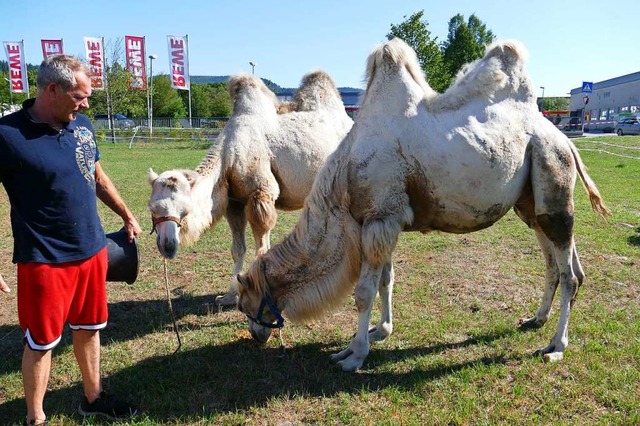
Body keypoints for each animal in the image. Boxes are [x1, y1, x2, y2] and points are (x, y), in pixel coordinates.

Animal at [148, 70, 352, 304]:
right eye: (152, 208)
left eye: (185, 209)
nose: (167, 245)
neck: (228, 154)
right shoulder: (234, 203)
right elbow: (238, 250)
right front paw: (229, 296)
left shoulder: (261, 195)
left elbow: (262, 249)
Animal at [235, 38, 608, 372]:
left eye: (246, 304)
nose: (255, 336)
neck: (343, 182)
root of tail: (564, 139)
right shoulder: (383, 221)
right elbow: (386, 280)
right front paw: (379, 331)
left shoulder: (380, 218)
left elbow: (364, 292)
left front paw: (354, 355)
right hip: (531, 203)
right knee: (556, 263)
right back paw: (536, 318)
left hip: (553, 171)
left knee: (569, 273)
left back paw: (556, 346)